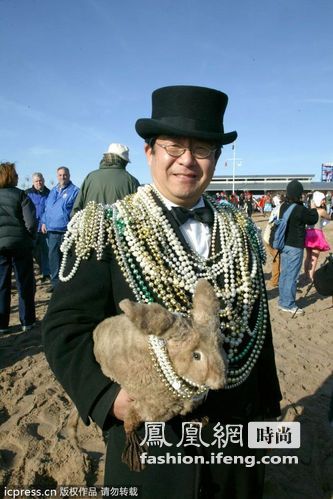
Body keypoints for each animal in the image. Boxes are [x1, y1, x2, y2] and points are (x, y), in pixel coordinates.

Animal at [92, 280, 227, 470]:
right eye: (196, 355)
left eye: (220, 345)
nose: (220, 382)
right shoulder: (142, 407)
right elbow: (130, 423)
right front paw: (135, 453)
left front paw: (198, 418)